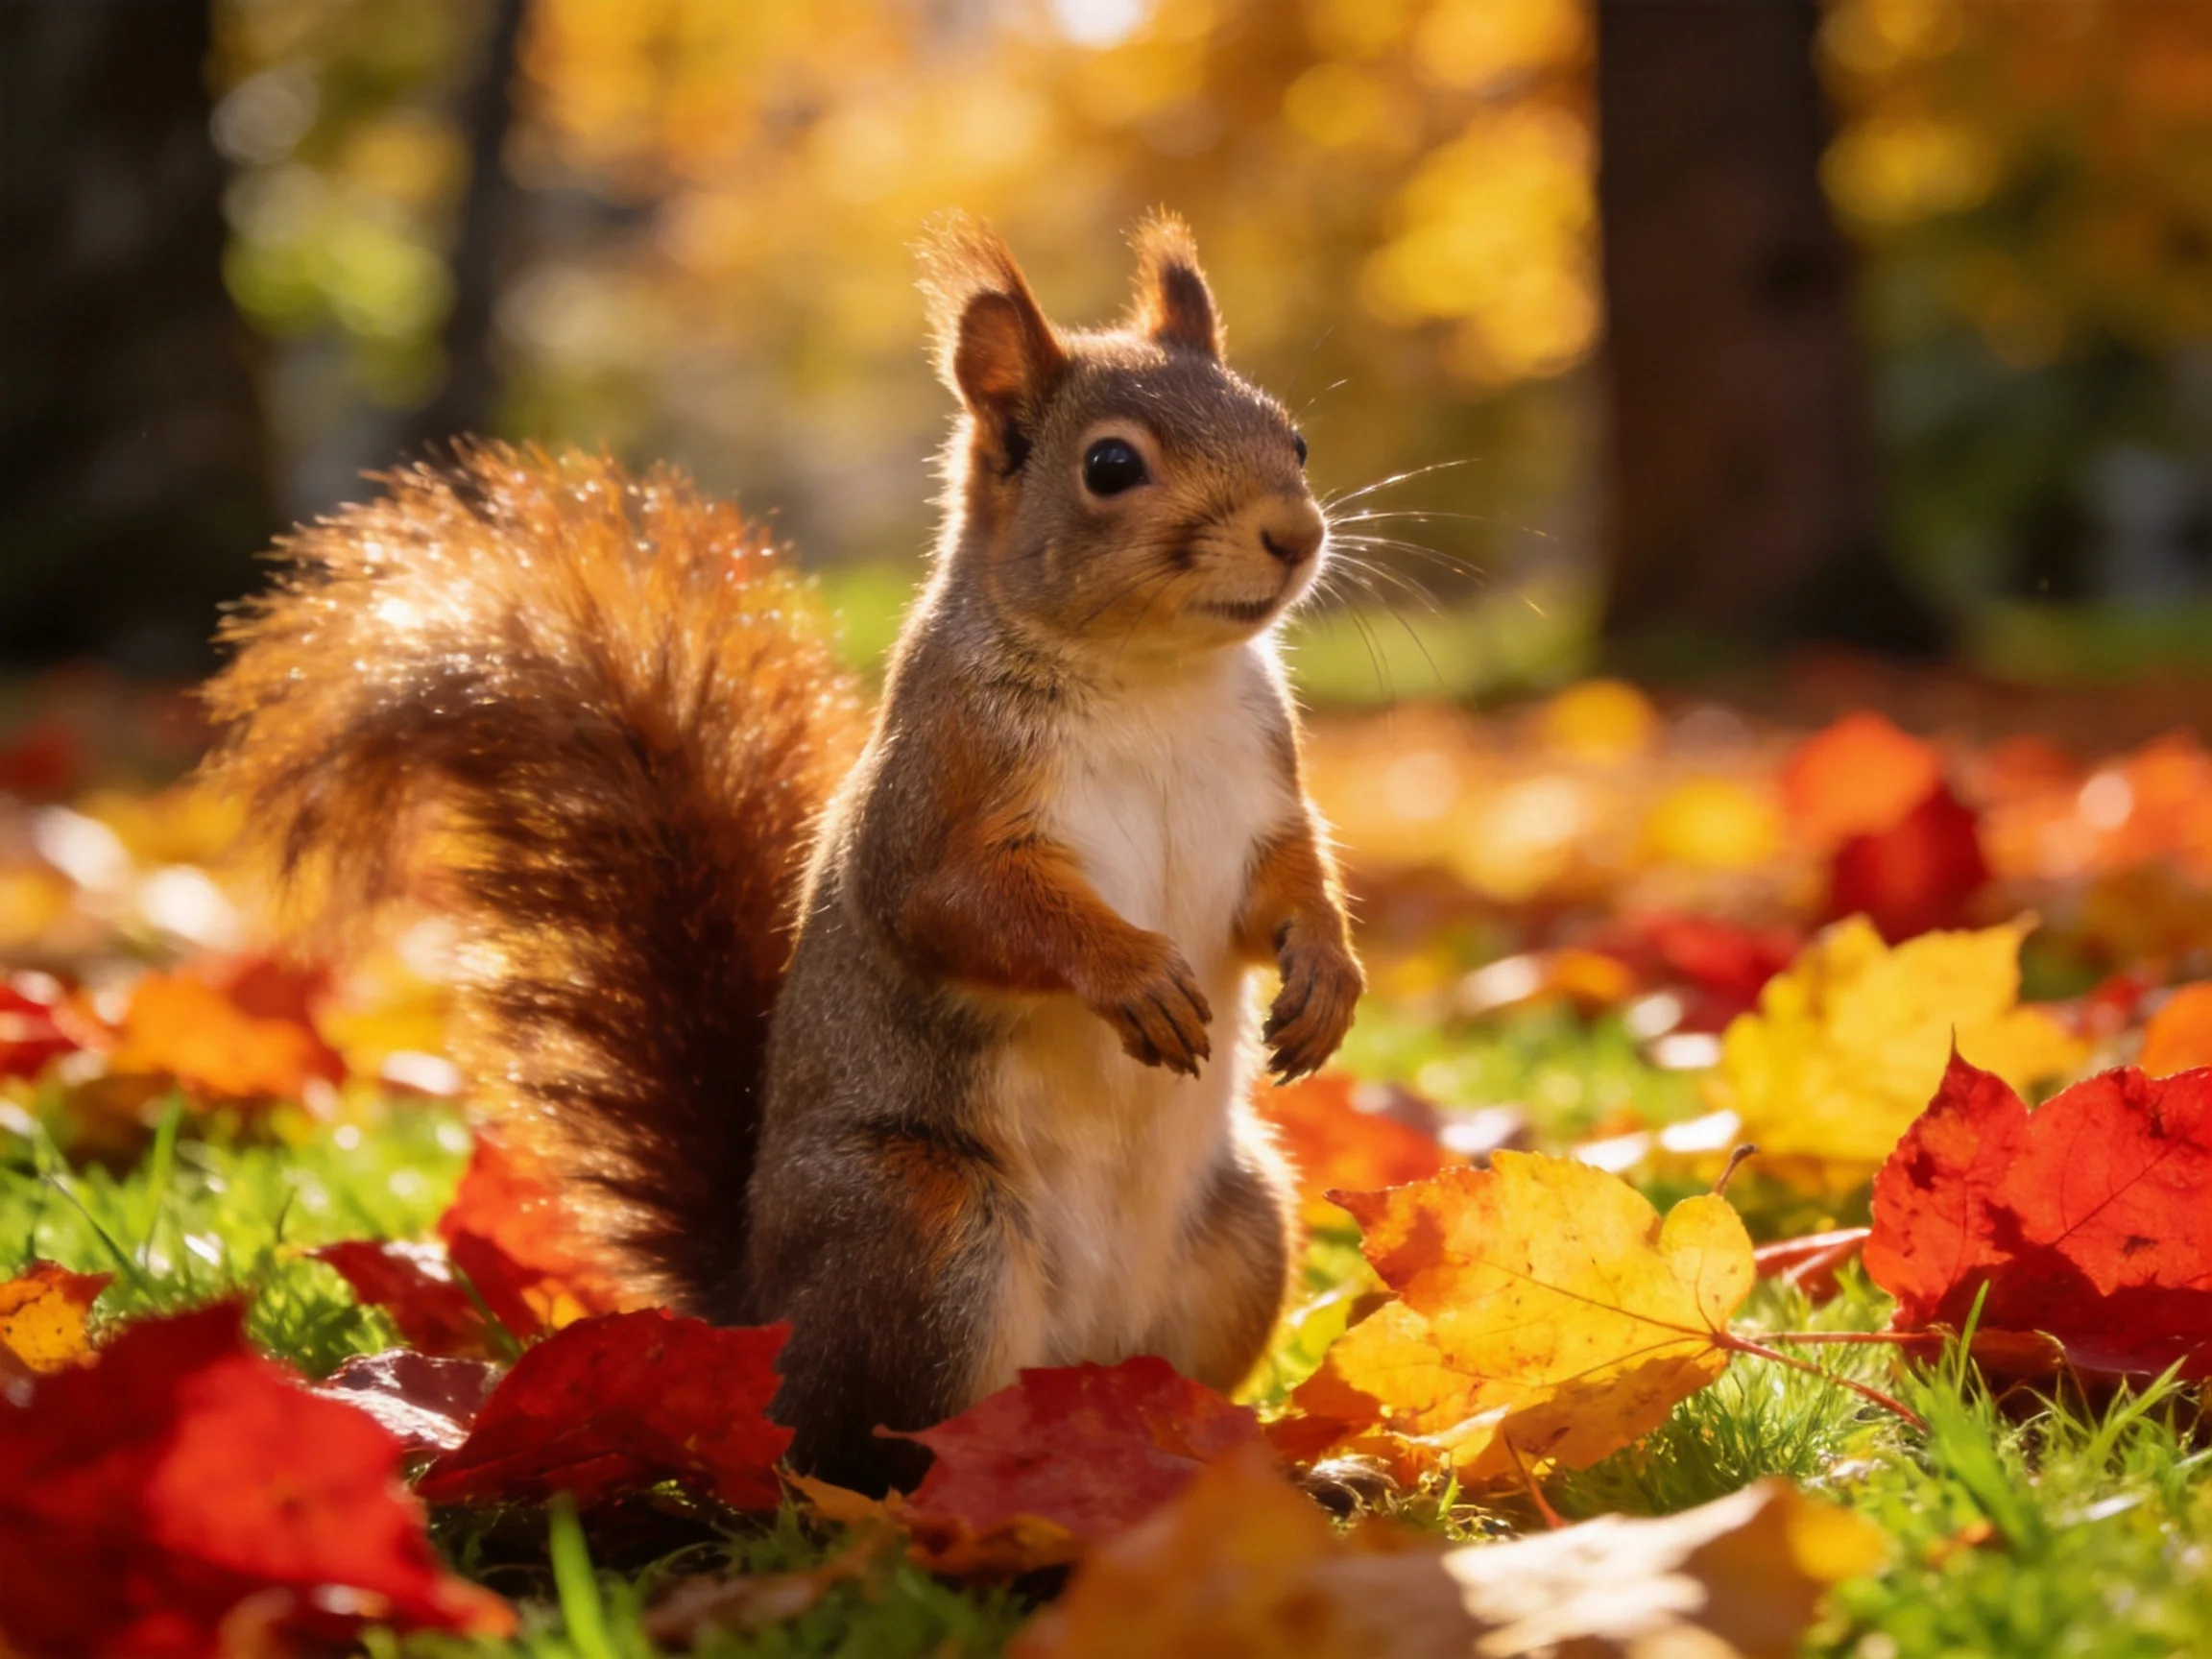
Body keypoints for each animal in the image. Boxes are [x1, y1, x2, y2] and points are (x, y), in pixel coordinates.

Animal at [204, 214, 1363, 1493]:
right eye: (1111, 466)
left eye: (1294, 437)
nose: (1296, 534)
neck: (1153, 681)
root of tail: (760, 1323)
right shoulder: (933, 805)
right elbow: (969, 909)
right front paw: (1134, 974)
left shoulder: (1265, 795)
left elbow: (1289, 886)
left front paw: (1327, 975)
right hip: (925, 1228)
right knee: (861, 1453)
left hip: (1244, 1230)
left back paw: (1257, 1470)